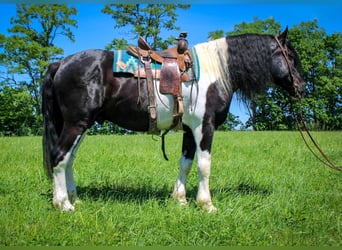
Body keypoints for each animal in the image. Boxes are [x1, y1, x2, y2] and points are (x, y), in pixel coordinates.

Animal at [41, 28, 306, 213]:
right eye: (290, 57)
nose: (302, 88)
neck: (215, 71)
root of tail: (59, 63)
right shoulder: (204, 127)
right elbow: (204, 165)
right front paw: (207, 205)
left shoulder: (189, 130)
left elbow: (185, 164)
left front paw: (179, 199)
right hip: (76, 123)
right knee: (59, 157)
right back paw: (64, 204)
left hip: (82, 125)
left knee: (69, 159)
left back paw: (73, 199)